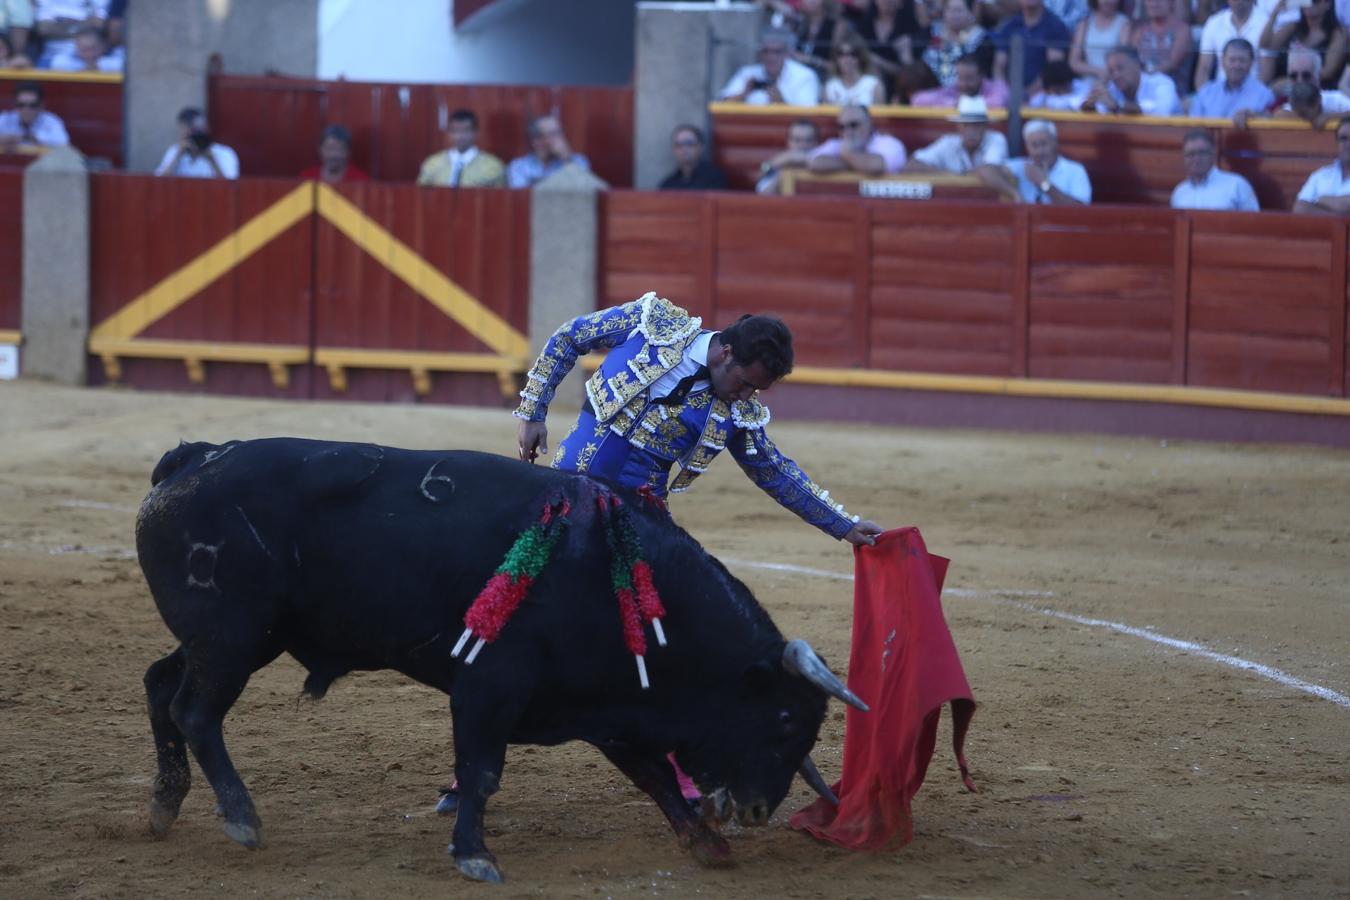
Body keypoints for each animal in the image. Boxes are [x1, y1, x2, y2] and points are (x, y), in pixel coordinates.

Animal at [137, 439, 864, 885]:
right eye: (782, 719)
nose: (758, 810)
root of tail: (190, 459)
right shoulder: (488, 688)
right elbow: (482, 773)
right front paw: (475, 855)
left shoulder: (610, 707)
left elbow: (654, 775)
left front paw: (706, 845)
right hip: (231, 639)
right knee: (195, 711)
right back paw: (241, 817)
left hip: (235, 641)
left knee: (159, 685)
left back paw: (163, 808)